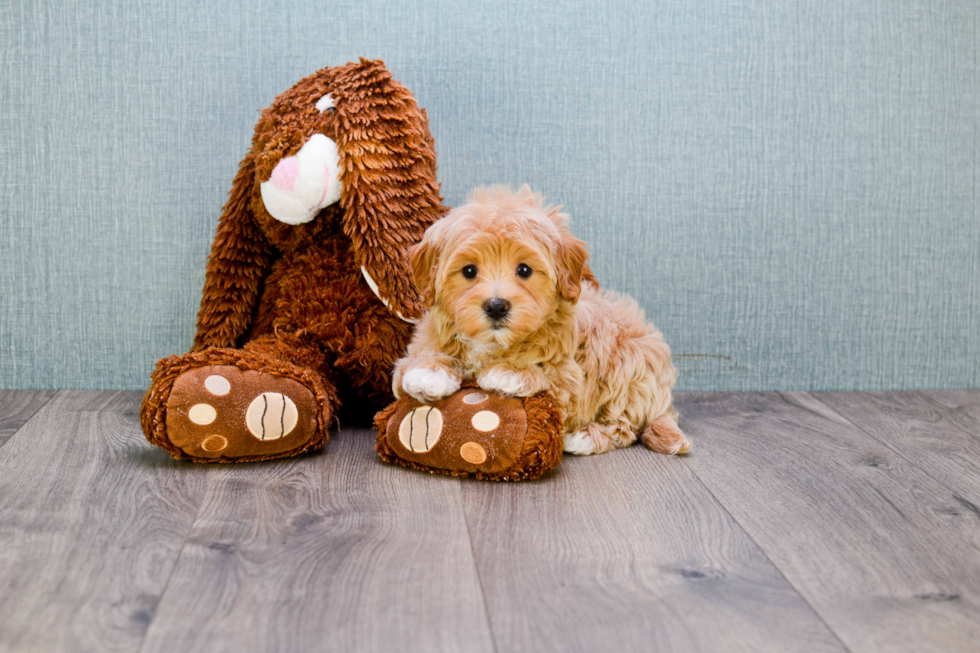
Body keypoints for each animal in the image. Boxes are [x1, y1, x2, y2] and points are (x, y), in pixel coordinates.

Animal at [390, 186, 688, 456]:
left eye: (524, 270)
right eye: (469, 271)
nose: (496, 306)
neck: (493, 344)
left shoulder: (572, 377)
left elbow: (551, 376)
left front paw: (510, 372)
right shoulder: (423, 342)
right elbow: (412, 364)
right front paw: (428, 373)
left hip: (632, 369)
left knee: (625, 425)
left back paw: (585, 437)